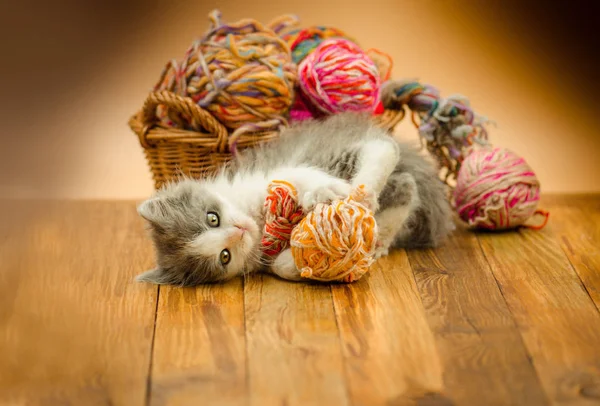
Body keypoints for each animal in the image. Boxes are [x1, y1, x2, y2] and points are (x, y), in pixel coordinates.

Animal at [137, 112, 454, 286]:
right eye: (224, 257)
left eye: (211, 218)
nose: (240, 231)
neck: (257, 219)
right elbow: (278, 266)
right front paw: (298, 264)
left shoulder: (273, 175)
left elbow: (301, 178)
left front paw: (326, 193)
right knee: (404, 185)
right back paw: (377, 234)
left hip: (332, 154)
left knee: (382, 148)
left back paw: (362, 195)